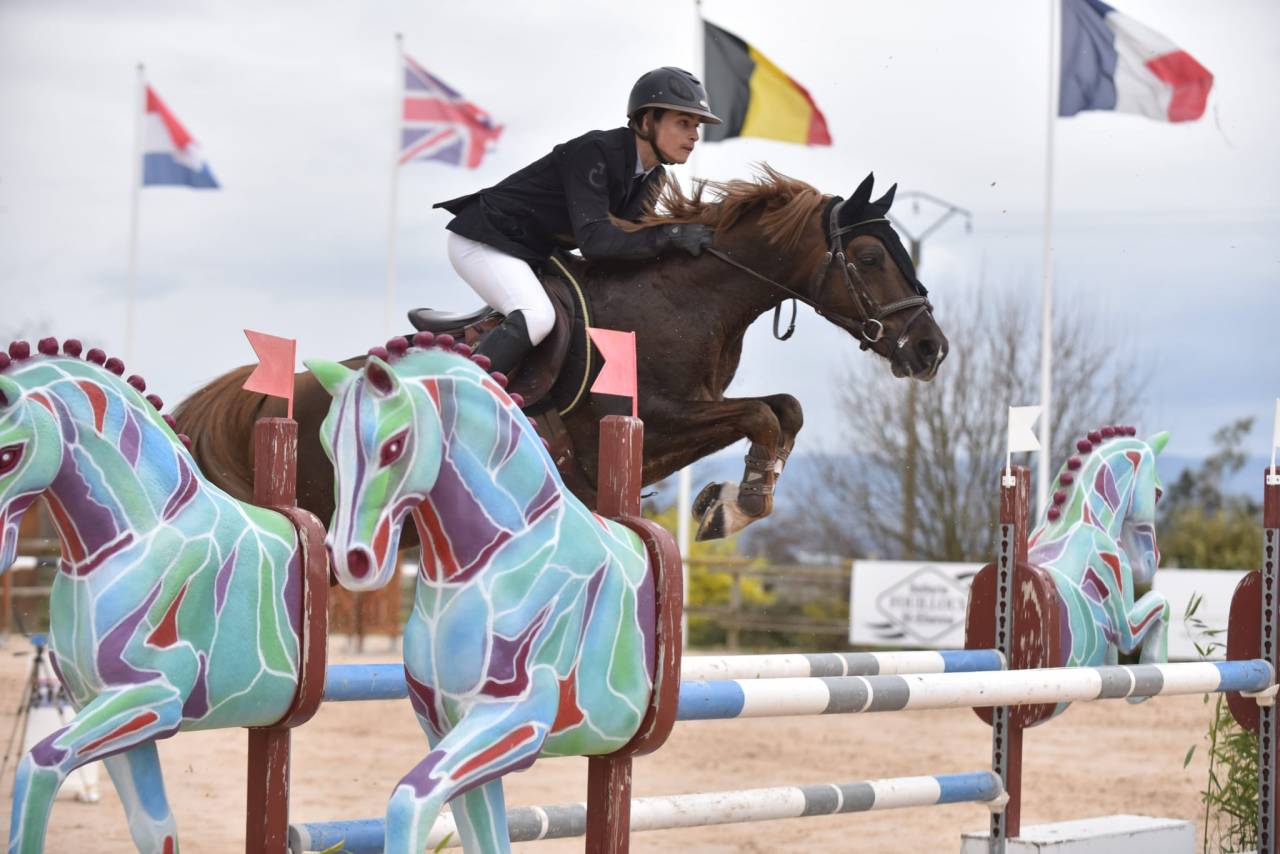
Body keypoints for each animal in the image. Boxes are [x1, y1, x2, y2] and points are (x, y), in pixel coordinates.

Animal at [0, 338, 317, 853]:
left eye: (8, 455)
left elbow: (39, 763)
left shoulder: (155, 699)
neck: (138, 537)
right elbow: (155, 826)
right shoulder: (103, 707)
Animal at [174, 169, 949, 542]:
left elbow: (784, 410)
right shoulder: (646, 423)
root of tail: (246, 402)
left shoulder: (670, 427)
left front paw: (726, 503)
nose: (930, 349)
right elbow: (762, 415)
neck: (683, 299)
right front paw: (737, 506)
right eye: (871, 256)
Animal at [307, 337, 660, 854]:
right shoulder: (444, 728)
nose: (351, 558)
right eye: (328, 448)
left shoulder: (517, 718)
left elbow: (410, 798)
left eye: (394, 444)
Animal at [1028, 424, 1171, 718]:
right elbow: (1162, 604)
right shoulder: (1127, 628)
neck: (1085, 519)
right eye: (1158, 493)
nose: (1152, 561)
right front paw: (1152, 669)